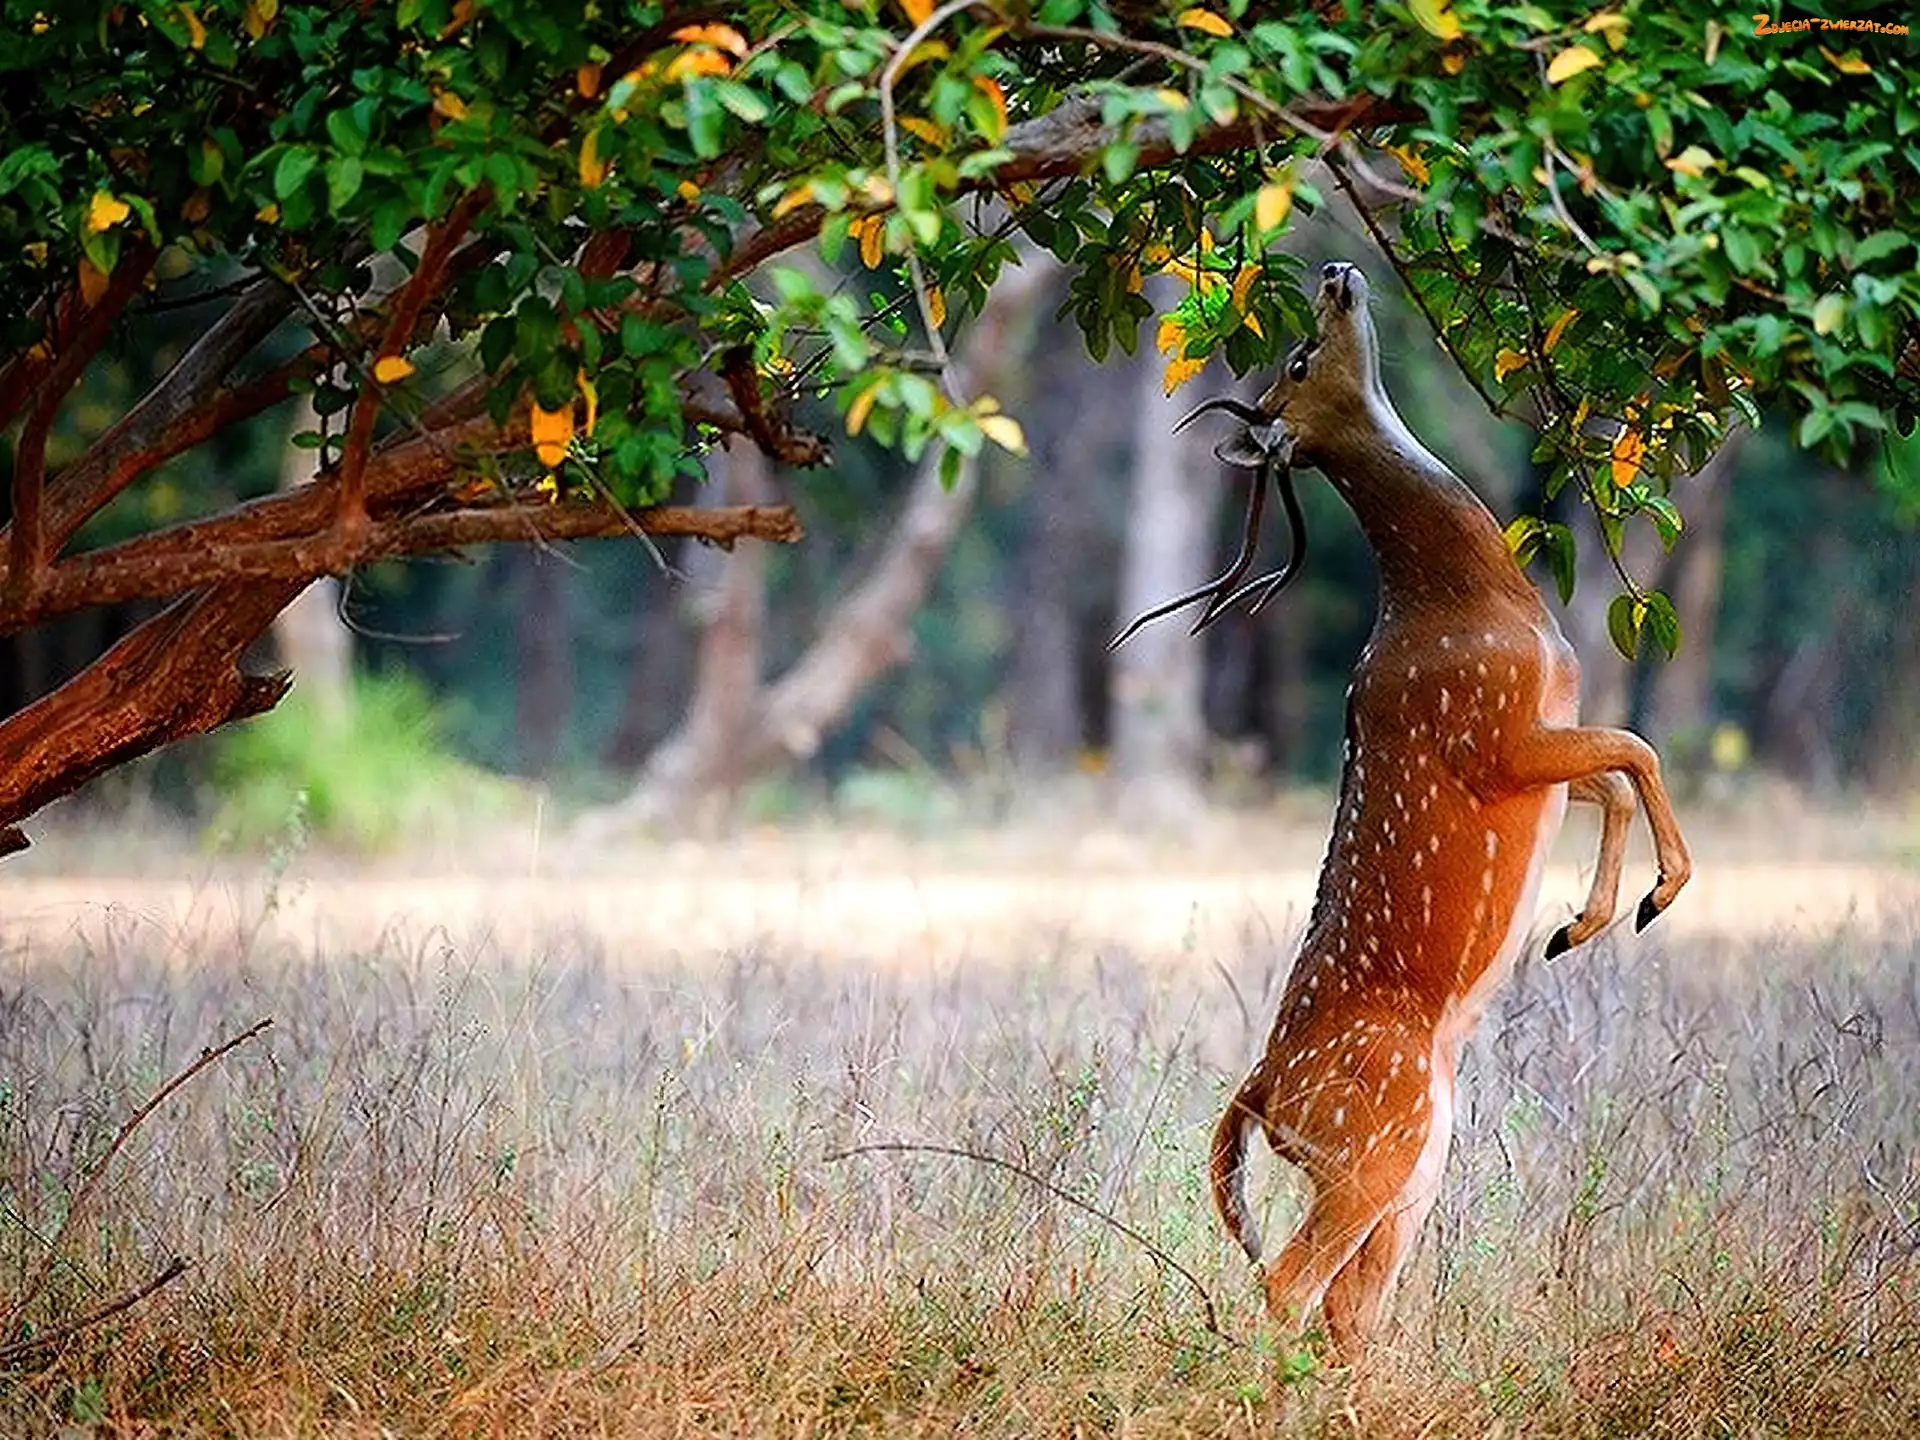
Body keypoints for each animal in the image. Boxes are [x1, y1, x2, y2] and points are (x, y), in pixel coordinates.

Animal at [1118, 260, 1692, 1367]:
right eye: (1300, 357)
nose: (1338, 273)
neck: (1477, 604)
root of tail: (1261, 1093)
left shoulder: (1543, 737)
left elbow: (1613, 771)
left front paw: (1582, 922)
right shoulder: (1494, 733)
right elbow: (1637, 747)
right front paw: (1652, 899)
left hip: (1414, 1160)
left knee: (1350, 1303)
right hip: (1369, 1145)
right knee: (1289, 1284)